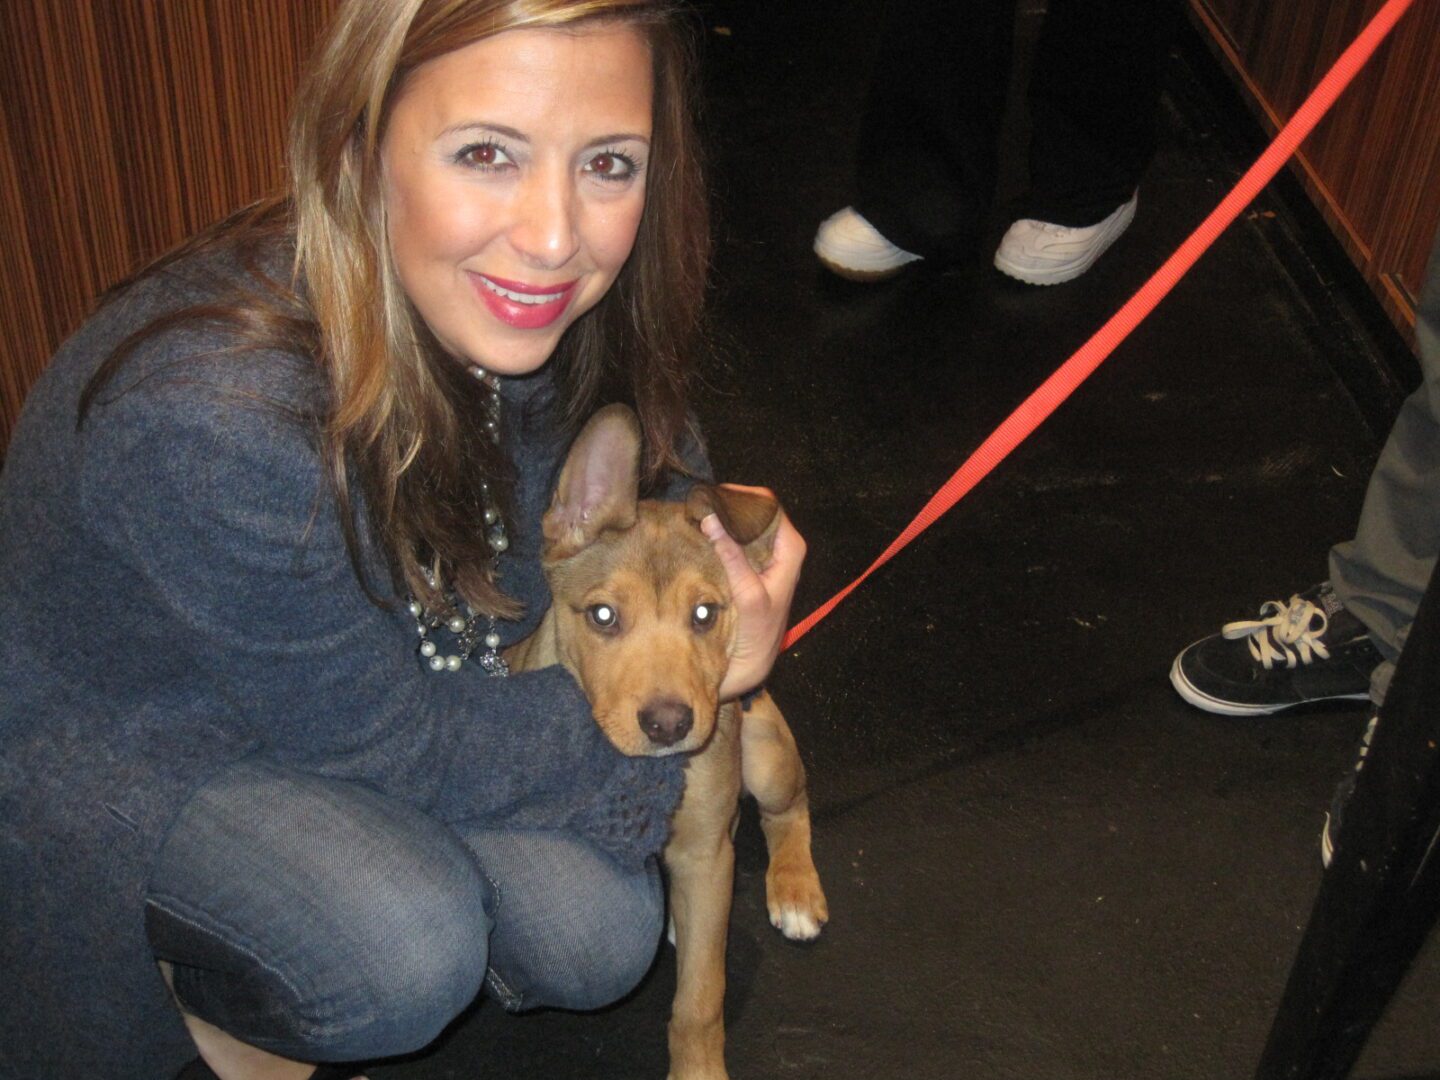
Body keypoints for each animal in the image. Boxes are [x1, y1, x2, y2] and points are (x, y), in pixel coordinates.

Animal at [505, 404, 828, 1080]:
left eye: (705, 614)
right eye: (602, 616)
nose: (669, 725)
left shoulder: (705, 853)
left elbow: (700, 1001)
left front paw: (699, 1070)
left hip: (765, 756)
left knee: (790, 809)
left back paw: (793, 887)